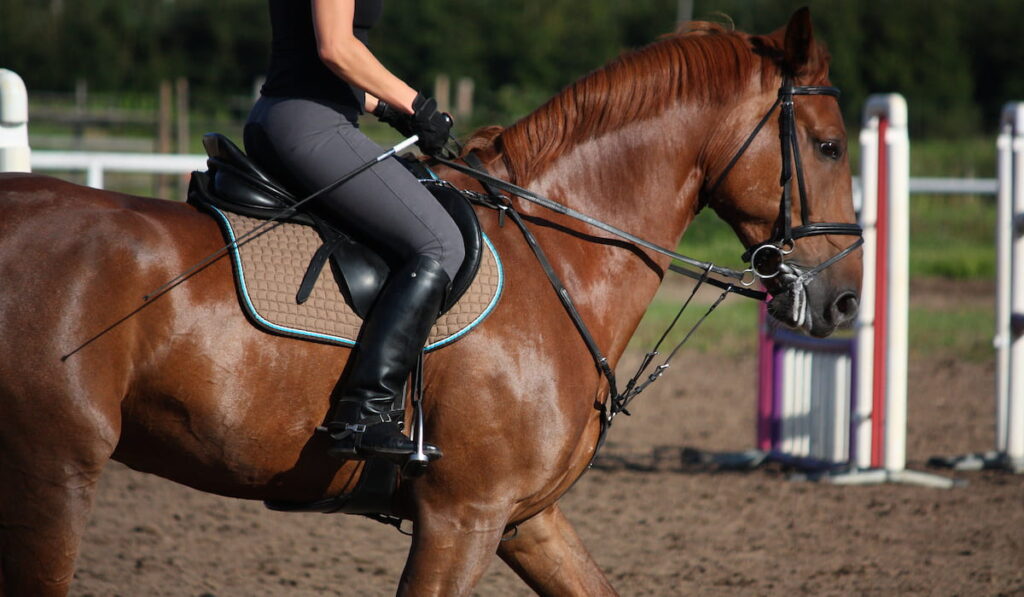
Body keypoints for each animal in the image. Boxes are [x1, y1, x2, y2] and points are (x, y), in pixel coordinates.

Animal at [0, 10, 860, 597]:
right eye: (827, 146)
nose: (845, 301)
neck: (559, 256)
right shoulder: (462, 515)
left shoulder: (524, 516)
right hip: (53, 473)